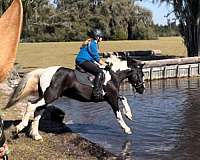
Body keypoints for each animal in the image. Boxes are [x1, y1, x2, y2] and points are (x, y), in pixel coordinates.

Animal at [5, 55, 145, 141]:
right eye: (141, 74)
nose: (142, 90)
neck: (112, 76)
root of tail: (44, 71)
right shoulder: (111, 97)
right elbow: (118, 114)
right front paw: (126, 129)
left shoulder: (111, 96)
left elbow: (124, 99)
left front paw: (129, 115)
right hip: (50, 96)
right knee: (31, 105)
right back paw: (19, 128)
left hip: (46, 97)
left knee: (38, 112)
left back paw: (36, 135)